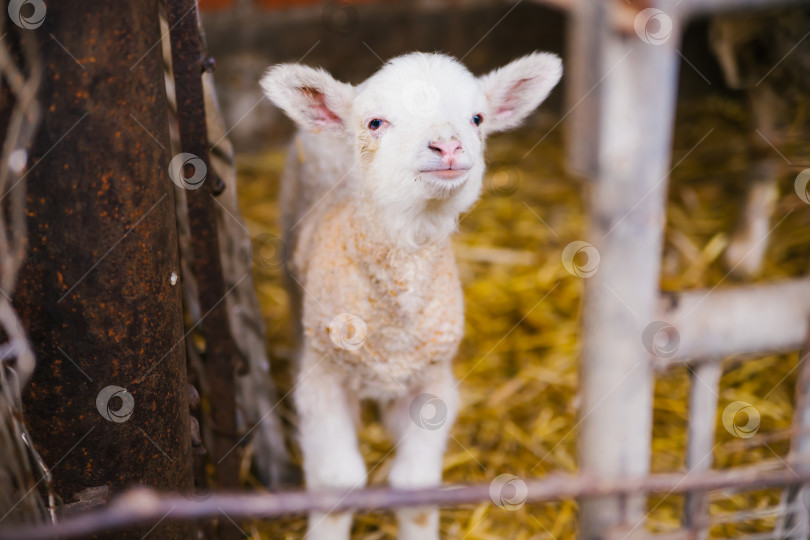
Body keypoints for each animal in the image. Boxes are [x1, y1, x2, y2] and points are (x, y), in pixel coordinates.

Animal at [260, 51, 560, 540]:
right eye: (375, 123)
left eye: (477, 118)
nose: (448, 146)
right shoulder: (323, 381)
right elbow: (337, 481)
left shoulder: (432, 380)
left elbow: (415, 487)